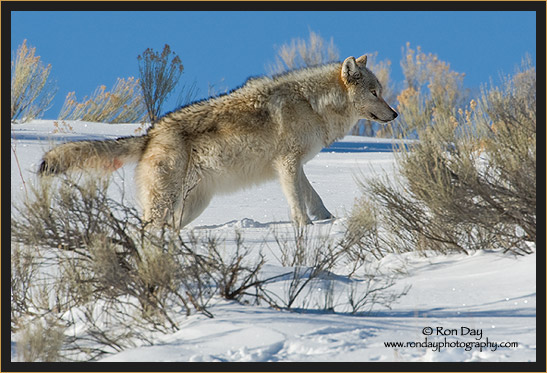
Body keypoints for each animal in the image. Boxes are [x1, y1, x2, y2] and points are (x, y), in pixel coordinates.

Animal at [38, 52, 398, 227]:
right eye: (375, 93)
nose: (395, 114)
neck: (312, 103)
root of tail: (150, 135)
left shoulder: (296, 166)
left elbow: (314, 198)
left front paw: (327, 222)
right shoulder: (287, 164)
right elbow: (297, 204)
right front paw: (306, 229)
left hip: (191, 207)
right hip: (167, 203)